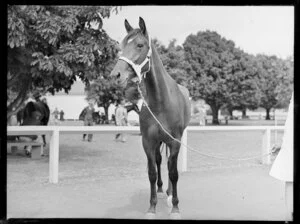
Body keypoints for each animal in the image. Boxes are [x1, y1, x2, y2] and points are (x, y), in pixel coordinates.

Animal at [111, 17, 191, 219]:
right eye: (122, 45)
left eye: (140, 45)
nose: (115, 75)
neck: (161, 100)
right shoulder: (148, 141)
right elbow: (152, 173)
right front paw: (152, 207)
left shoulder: (175, 141)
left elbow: (174, 173)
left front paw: (176, 207)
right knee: (160, 161)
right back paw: (163, 191)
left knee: (170, 165)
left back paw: (170, 194)